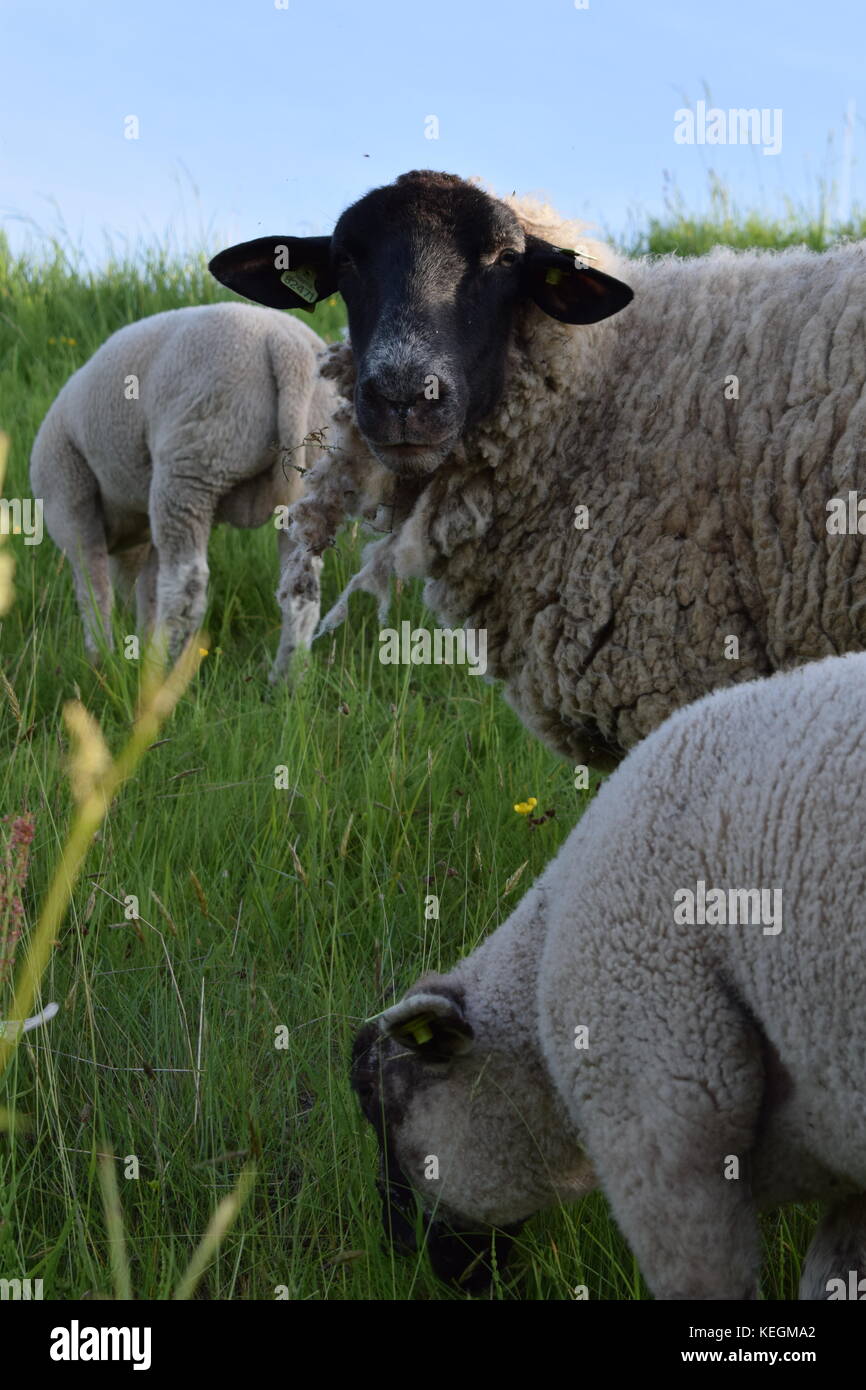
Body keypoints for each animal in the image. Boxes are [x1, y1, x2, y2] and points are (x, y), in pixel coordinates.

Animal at [30, 302, 337, 679]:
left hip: (192, 464)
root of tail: (285, 345)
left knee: (185, 589)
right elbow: (147, 588)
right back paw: (286, 680)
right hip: (311, 477)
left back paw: (163, 671)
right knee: (301, 591)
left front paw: (99, 662)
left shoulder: (68, 498)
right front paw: (136, 643)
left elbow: (94, 587)